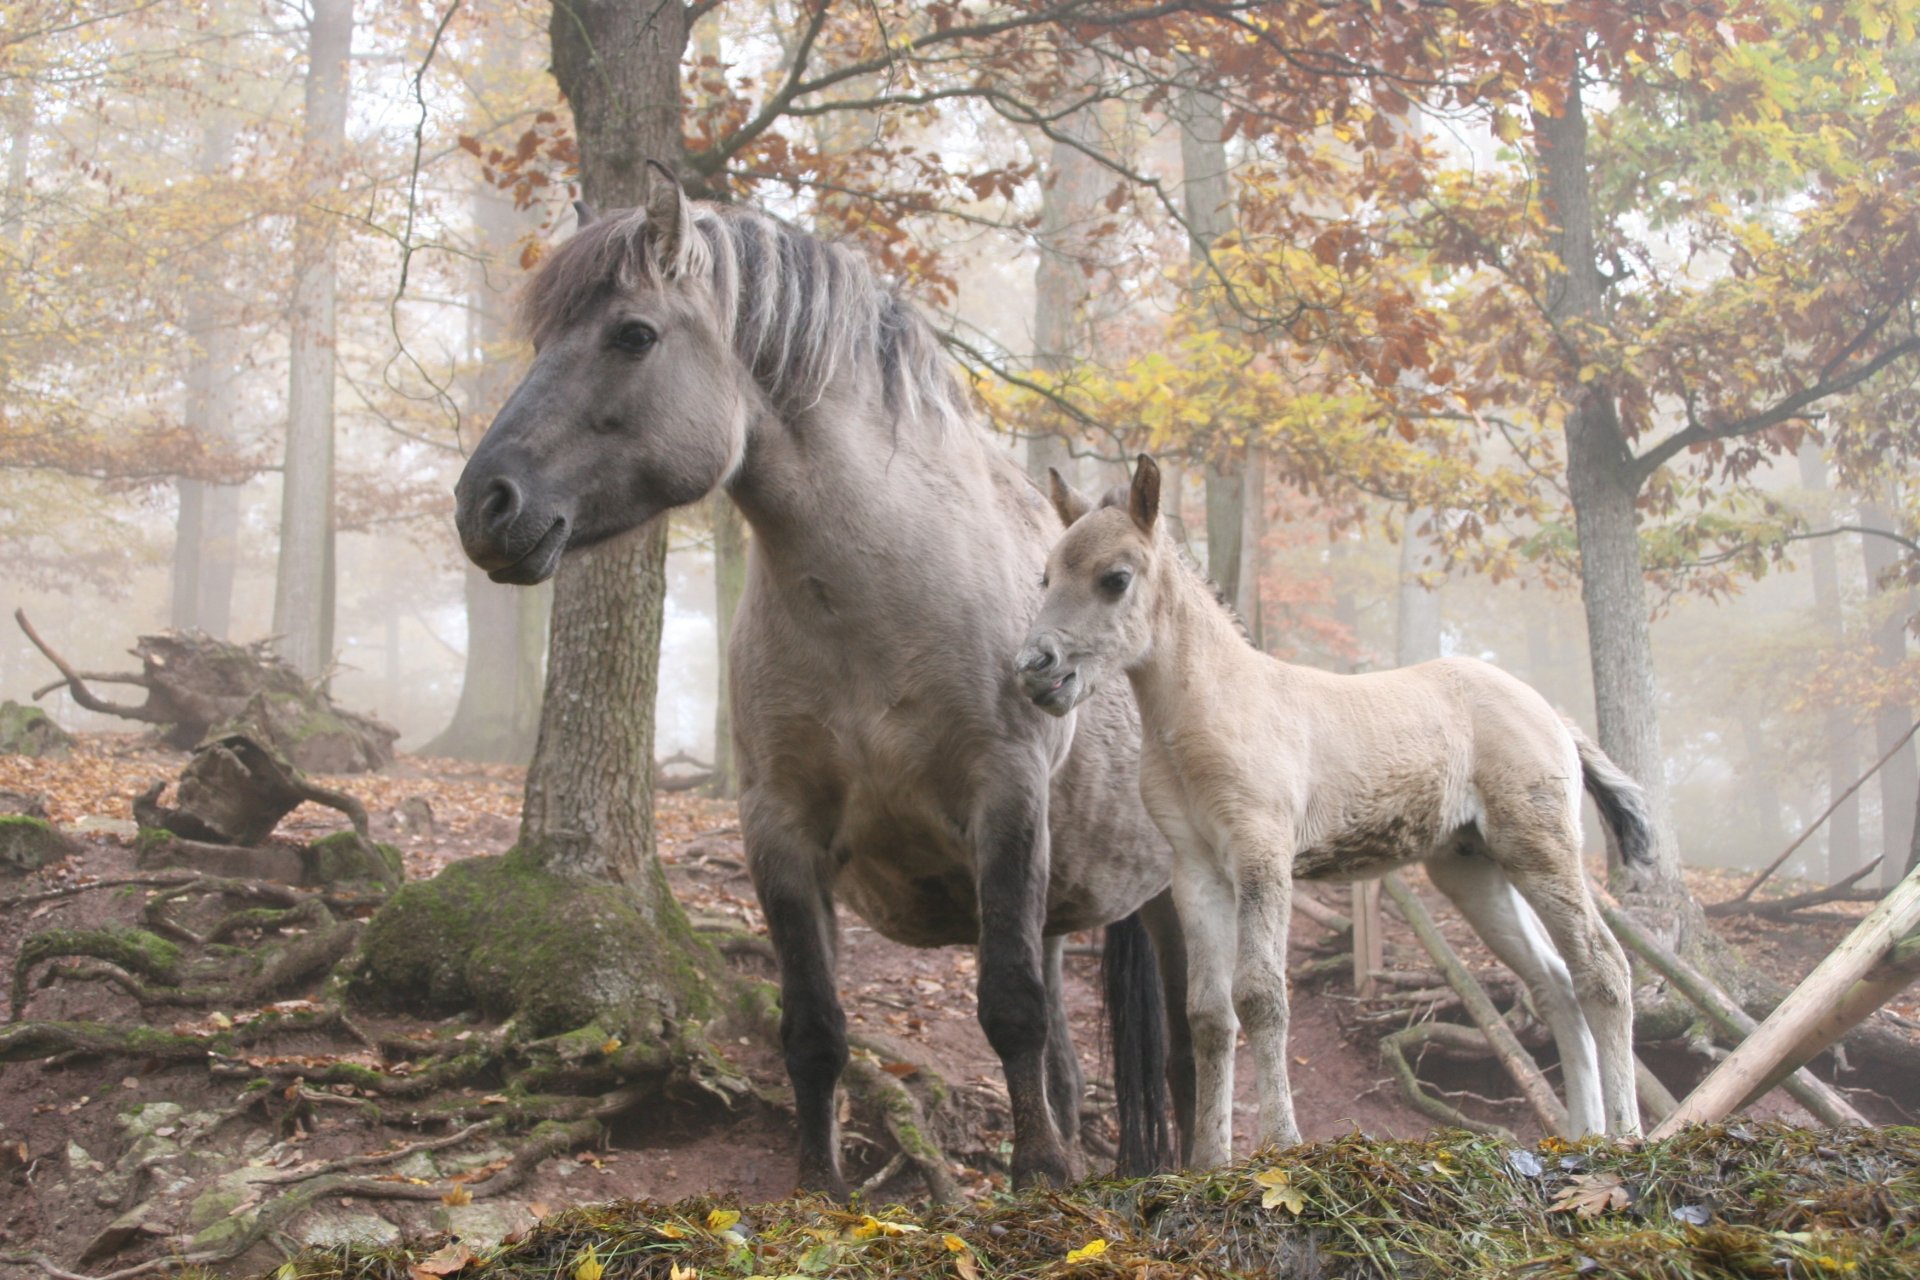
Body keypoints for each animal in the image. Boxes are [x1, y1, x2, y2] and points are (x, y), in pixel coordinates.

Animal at [452, 166, 1192, 1194]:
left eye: (633, 334)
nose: (485, 506)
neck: (876, 605)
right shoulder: (781, 828)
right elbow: (813, 1028)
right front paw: (821, 1188)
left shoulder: (1004, 798)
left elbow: (1009, 1007)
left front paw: (1039, 1179)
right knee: (1071, 1057)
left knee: (1194, 1049)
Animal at [1017, 455, 1649, 1167]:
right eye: (1047, 577)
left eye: (1115, 578)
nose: (1036, 668)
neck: (1214, 709)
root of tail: (1552, 715)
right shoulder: (1196, 871)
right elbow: (1208, 1012)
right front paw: (1208, 1163)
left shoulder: (1262, 855)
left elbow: (1261, 996)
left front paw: (1280, 1144)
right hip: (1473, 870)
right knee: (1555, 985)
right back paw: (1581, 1137)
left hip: (1539, 848)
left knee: (1603, 968)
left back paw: (1625, 1134)